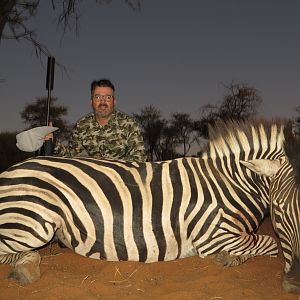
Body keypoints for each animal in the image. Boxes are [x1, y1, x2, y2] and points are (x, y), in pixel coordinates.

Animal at [0, 119, 288, 288]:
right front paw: (229, 259)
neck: (232, 184)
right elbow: (269, 244)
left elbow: (264, 243)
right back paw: (26, 268)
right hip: (34, 222)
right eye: (286, 204)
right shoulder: (216, 236)